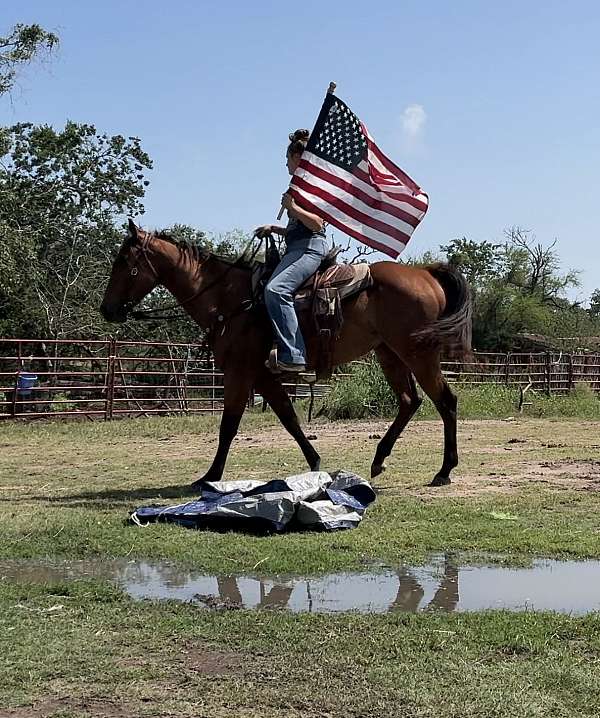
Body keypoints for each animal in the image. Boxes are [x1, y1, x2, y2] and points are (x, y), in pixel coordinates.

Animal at [100, 220, 471, 489]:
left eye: (124, 262)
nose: (107, 310)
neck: (230, 299)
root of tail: (425, 273)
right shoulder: (262, 374)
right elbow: (289, 418)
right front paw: (315, 463)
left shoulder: (240, 371)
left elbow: (229, 425)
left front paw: (210, 477)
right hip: (389, 353)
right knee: (410, 401)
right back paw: (379, 459)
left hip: (417, 353)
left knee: (446, 401)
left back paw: (444, 471)